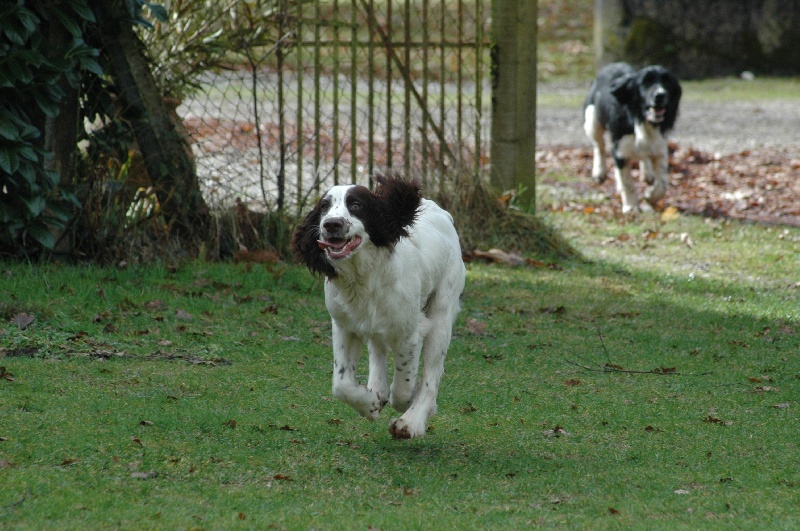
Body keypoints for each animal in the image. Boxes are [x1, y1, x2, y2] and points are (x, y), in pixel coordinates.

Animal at [290, 177, 466, 438]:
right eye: (324, 206)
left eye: (356, 205)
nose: (332, 224)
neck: (363, 277)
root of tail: (436, 208)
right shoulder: (344, 325)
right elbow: (341, 384)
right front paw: (370, 404)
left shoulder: (410, 332)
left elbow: (403, 386)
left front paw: (405, 405)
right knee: (377, 349)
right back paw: (378, 389)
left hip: (442, 315)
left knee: (431, 376)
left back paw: (412, 420)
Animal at [580, 62, 680, 212]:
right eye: (646, 82)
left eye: (667, 82)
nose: (660, 95)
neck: (642, 120)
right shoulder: (620, 150)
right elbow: (627, 183)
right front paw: (631, 206)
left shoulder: (660, 149)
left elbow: (663, 184)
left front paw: (650, 196)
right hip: (592, 119)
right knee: (599, 146)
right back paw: (599, 172)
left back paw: (647, 174)